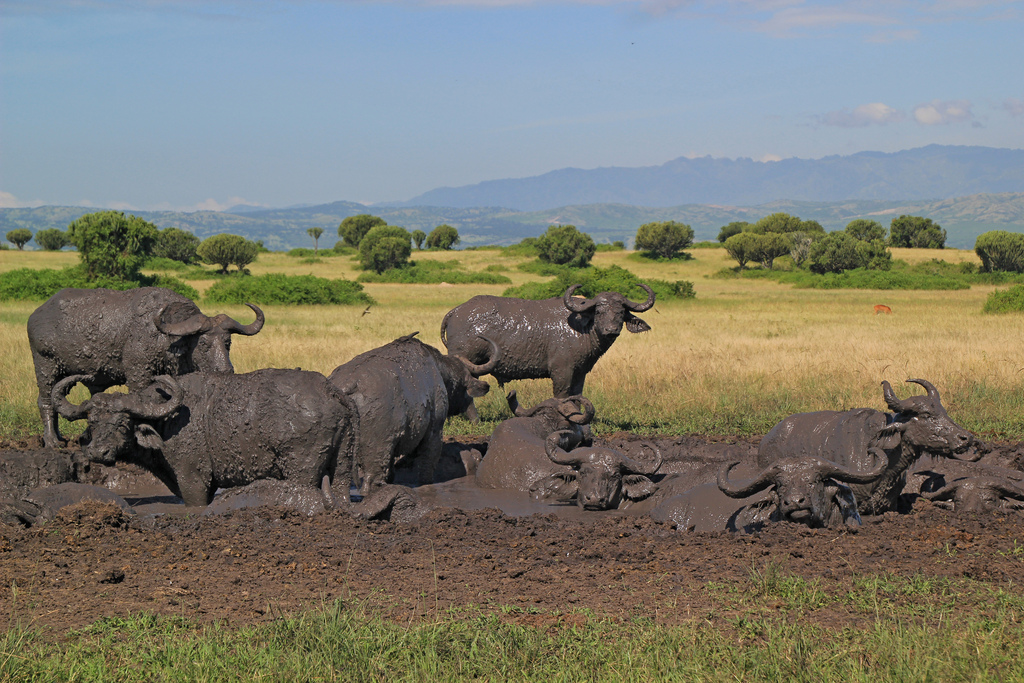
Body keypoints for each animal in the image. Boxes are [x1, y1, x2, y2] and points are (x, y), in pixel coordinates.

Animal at [28, 287, 263, 448]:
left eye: (227, 342)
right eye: (203, 344)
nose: (225, 370)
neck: (165, 339)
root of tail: (37, 315)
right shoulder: (138, 374)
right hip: (45, 366)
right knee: (45, 401)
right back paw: (52, 441)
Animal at [52, 369, 357, 507]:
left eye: (123, 423)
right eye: (93, 422)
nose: (97, 452)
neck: (165, 421)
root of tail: (331, 392)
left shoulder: (193, 479)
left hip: (300, 470)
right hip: (342, 465)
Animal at [329, 332, 500, 494]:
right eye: (463, 384)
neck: (439, 370)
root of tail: (349, 385)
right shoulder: (434, 432)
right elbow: (427, 467)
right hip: (377, 452)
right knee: (370, 483)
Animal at [440, 284, 655, 399]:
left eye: (620, 312)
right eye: (600, 312)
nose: (611, 330)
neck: (581, 328)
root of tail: (456, 311)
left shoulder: (580, 373)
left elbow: (576, 395)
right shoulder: (561, 371)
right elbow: (561, 395)